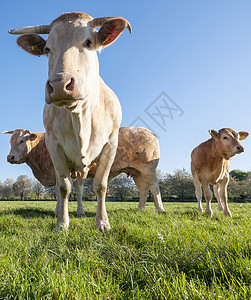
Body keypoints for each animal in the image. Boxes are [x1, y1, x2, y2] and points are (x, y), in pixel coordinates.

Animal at [3, 127, 166, 214]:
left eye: (21, 141)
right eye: (10, 141)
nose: (10, 157)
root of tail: (148, 132)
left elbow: (77, 189)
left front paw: (75, 211)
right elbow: (61, 190)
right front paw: (59, 211)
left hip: (148, 169)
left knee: (154, 187)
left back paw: (160, 209)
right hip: (136, 171)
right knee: (144, 189)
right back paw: (140, 209)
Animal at [9, 11, 131, 231]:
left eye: (88, 42)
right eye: (47, 49)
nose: (59, 85)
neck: (80, 117)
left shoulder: (111, 144)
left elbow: (101, 185)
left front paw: (102, 222)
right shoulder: (54, 146)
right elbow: (63, 187)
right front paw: (62, 223)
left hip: (85, 165)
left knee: (81, 187)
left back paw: (81, 211)